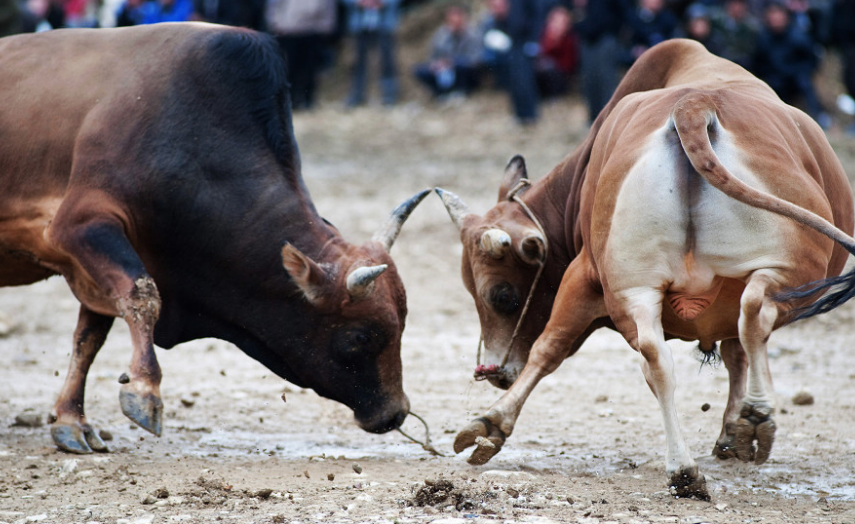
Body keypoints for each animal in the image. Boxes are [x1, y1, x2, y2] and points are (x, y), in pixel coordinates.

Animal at [0, 22, 428, 452]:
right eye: (360, 336)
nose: (395, 413)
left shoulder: (94, 263)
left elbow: (89, 337)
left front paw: (71, 420)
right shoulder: (81, 225)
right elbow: (142, 295)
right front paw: (144, 391)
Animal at [438, 39, 855, 498]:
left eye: (503, 297)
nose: (494, 372)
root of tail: (694, 105)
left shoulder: (583, 276)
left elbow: (550, 348)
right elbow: (734, 353)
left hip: (641, 285)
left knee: (662, 357)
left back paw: (694, 461)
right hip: (790, 271)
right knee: (748, 317)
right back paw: (741, 427)